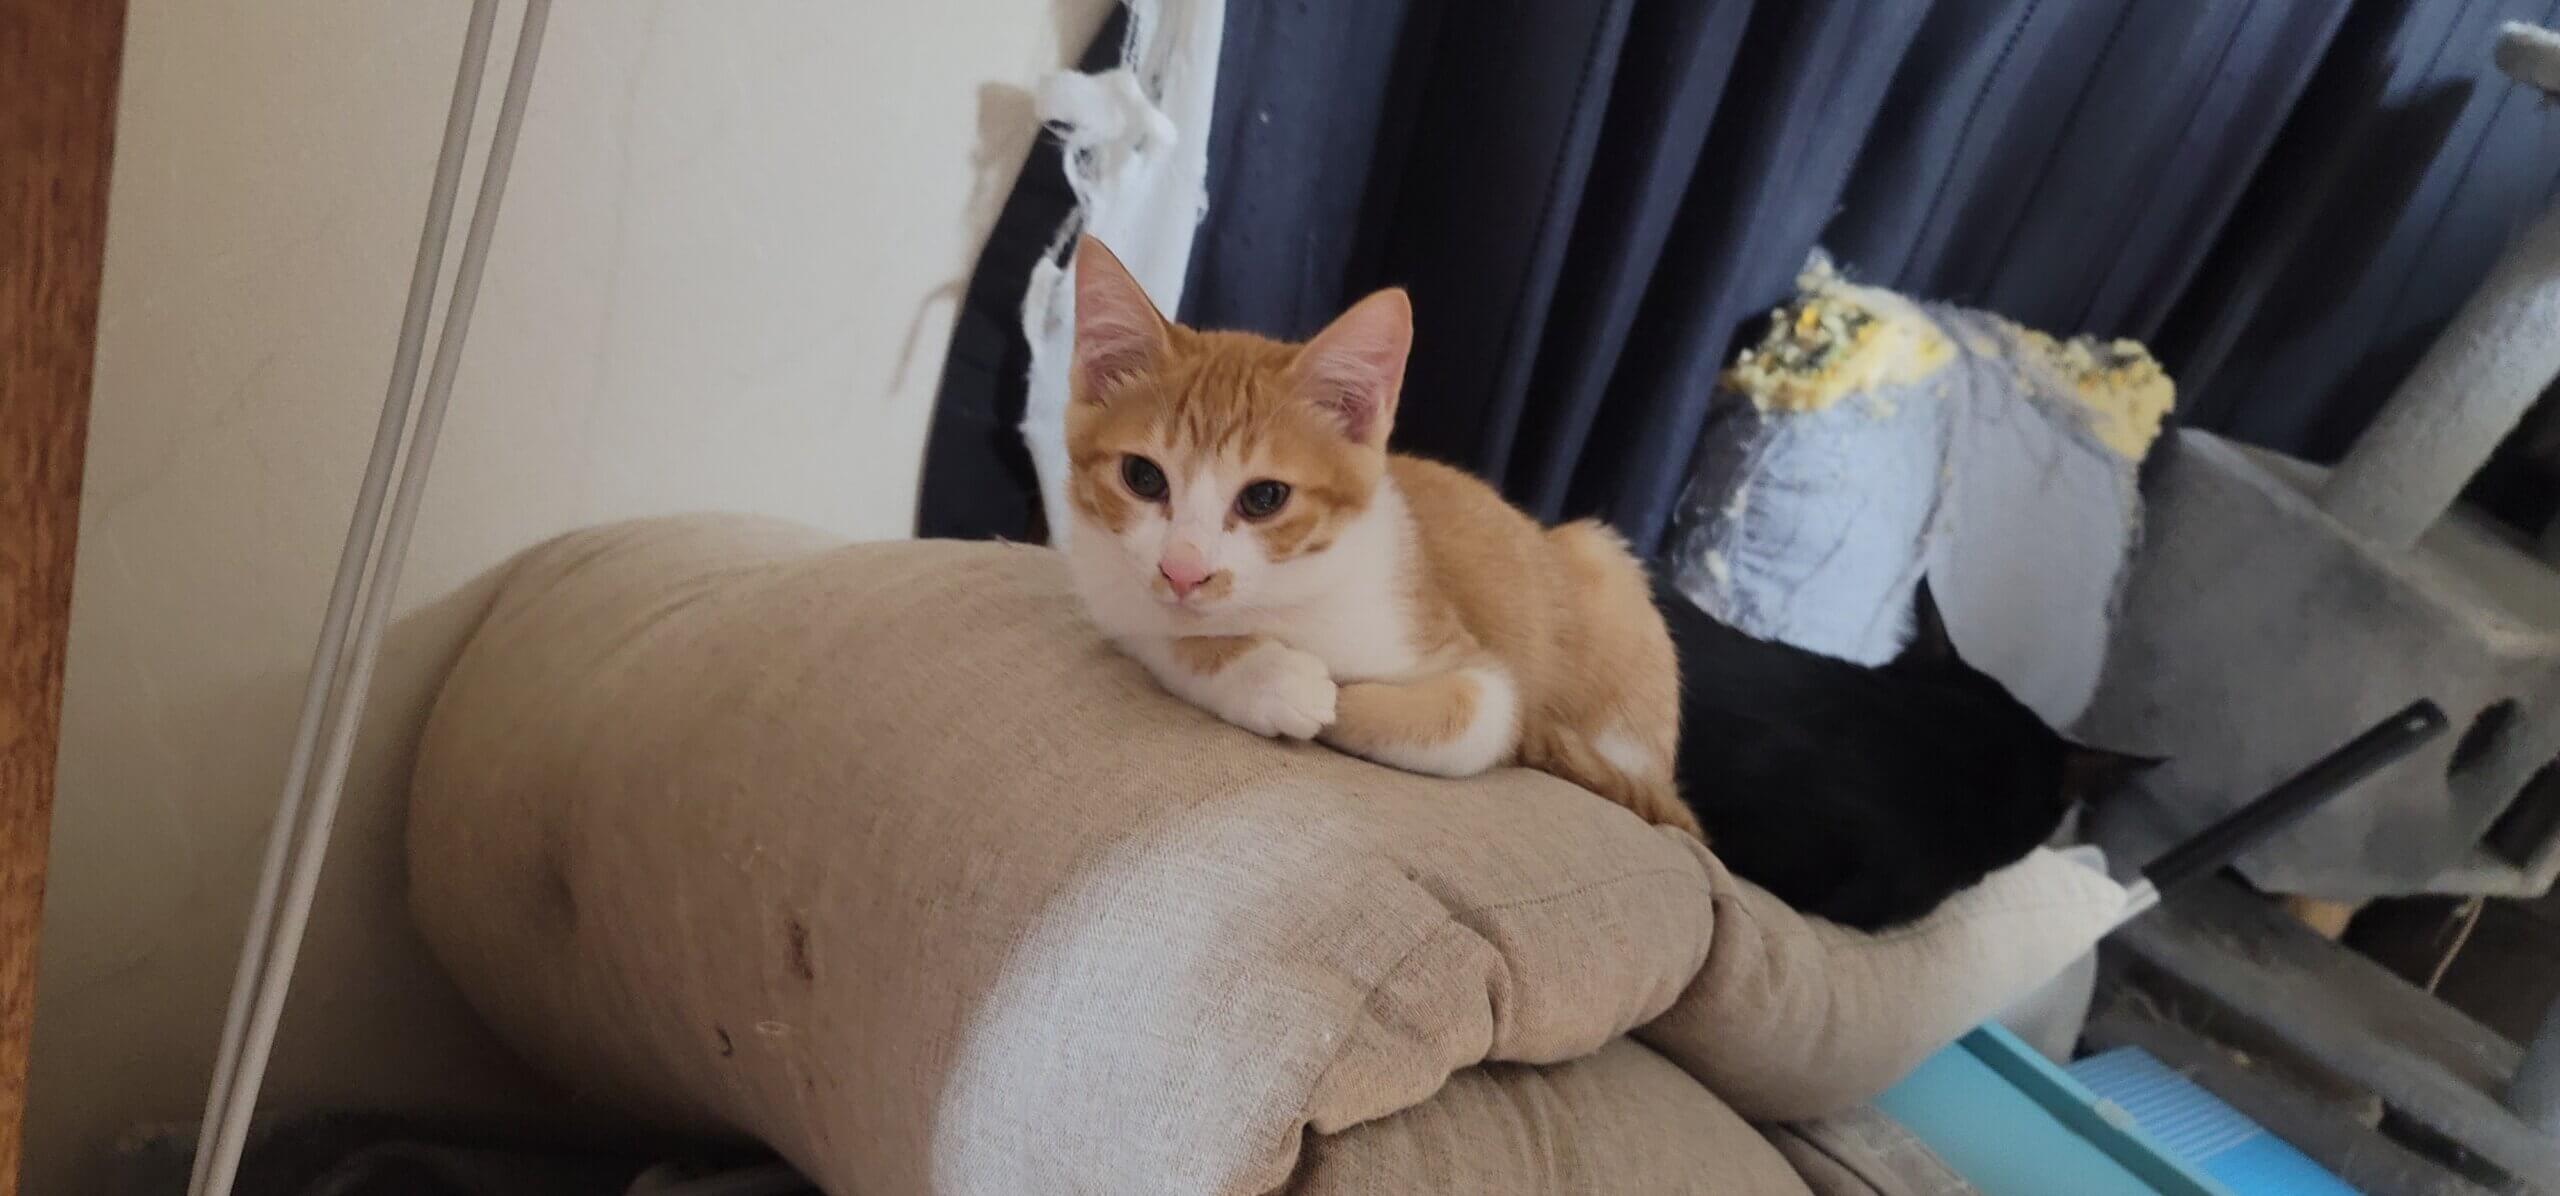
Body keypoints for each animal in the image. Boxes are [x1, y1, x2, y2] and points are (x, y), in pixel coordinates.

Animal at [1060, 236, 1701, 837]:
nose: (1183, 569)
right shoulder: (1118, 602)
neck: (1285, 600)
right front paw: (1270, 678)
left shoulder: (1476, 671)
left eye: (1264, 498)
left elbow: (1470, 711)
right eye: (1143, 477)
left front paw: (1336, 698)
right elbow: (1167, 636)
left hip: (1601, 561)